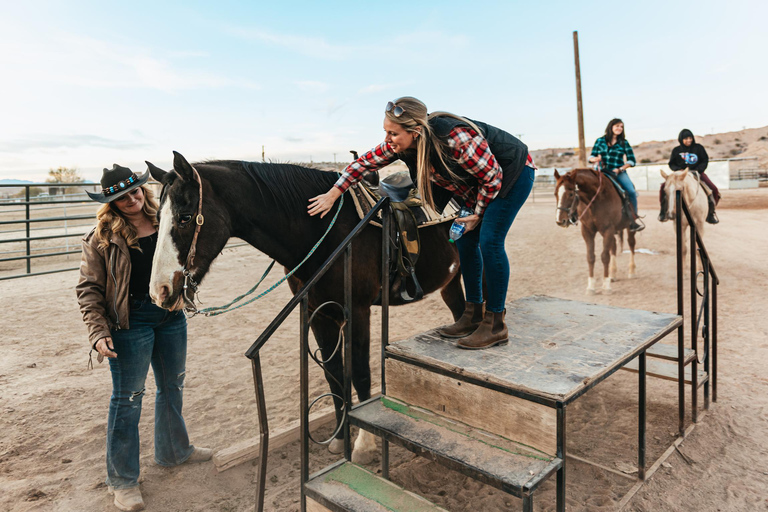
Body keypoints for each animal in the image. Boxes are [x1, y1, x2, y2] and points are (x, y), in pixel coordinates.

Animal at [148, 152, 464, 464]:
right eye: (157, 220)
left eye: (185, 217)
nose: (159, 291)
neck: (324, 232)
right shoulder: (319, 313)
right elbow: (334, 375)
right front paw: (340, 437)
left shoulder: (358, 311)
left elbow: (360, 373)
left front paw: (364, 444)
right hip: (451, 280)